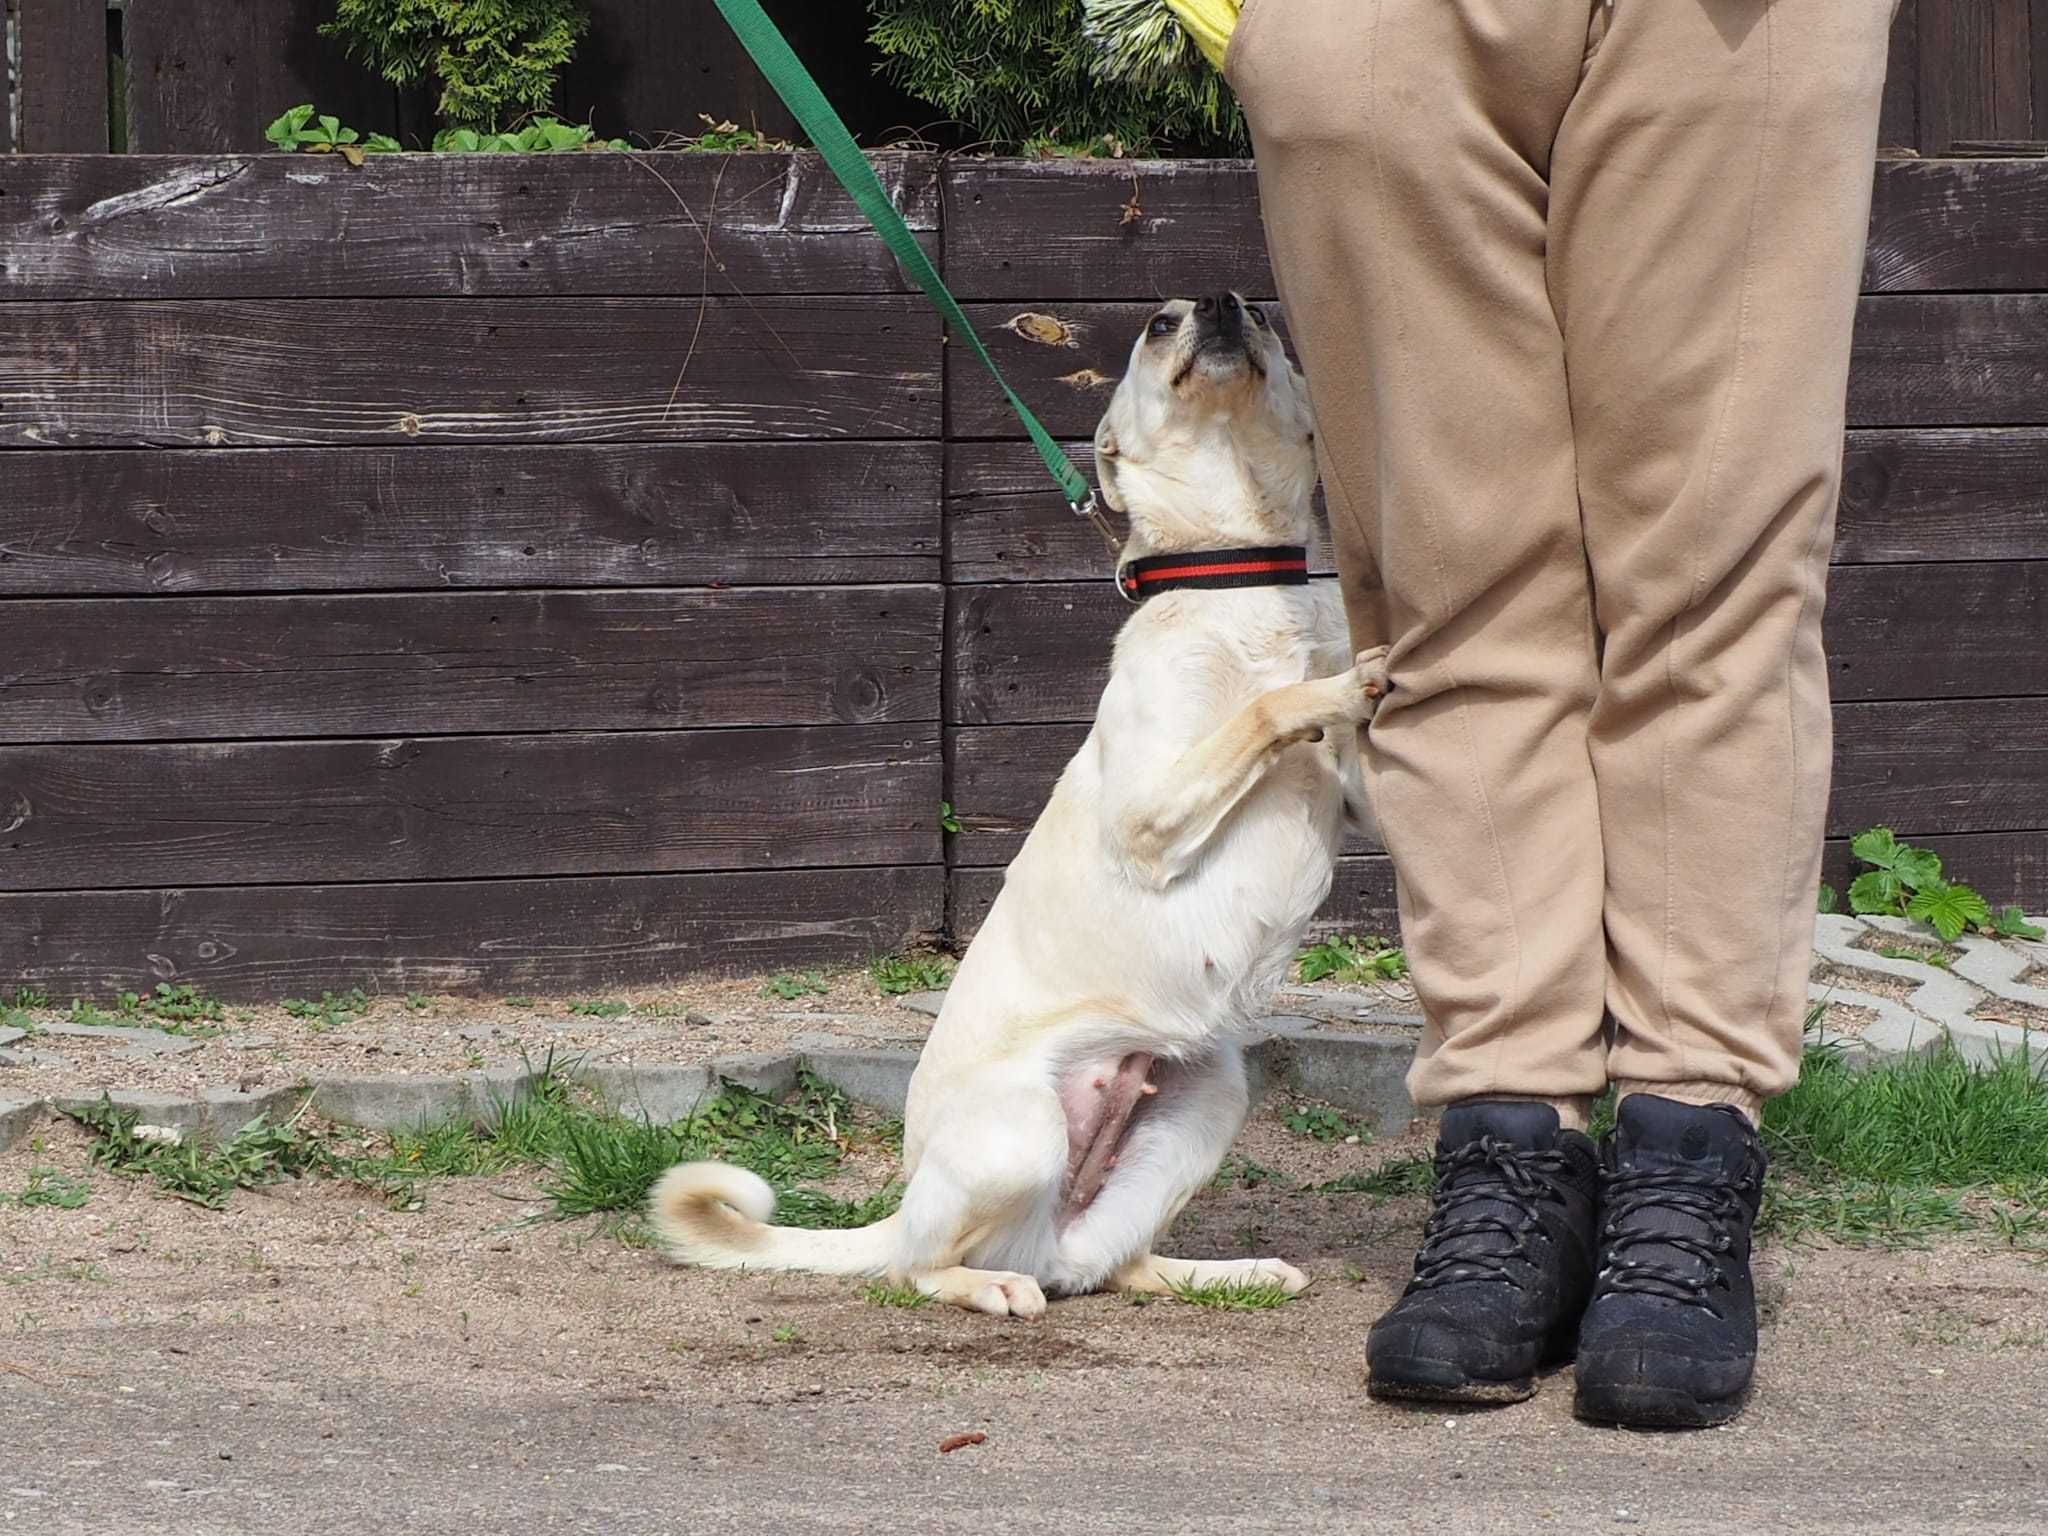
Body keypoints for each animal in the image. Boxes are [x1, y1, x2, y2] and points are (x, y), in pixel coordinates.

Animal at [651, 290, 1392, 1327]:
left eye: (1261, 316)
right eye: (1156, 326)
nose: (1216, 304)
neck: (1240, 579)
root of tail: (910, 1207)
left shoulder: (1355, 800)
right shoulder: (1150, 813)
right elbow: (1268, 706)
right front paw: (1332, 689)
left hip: (1207, 1103)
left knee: (1108, 1264)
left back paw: (1224, 1274)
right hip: (1024, 1132)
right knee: (920, 1269)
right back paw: (988, 1284)